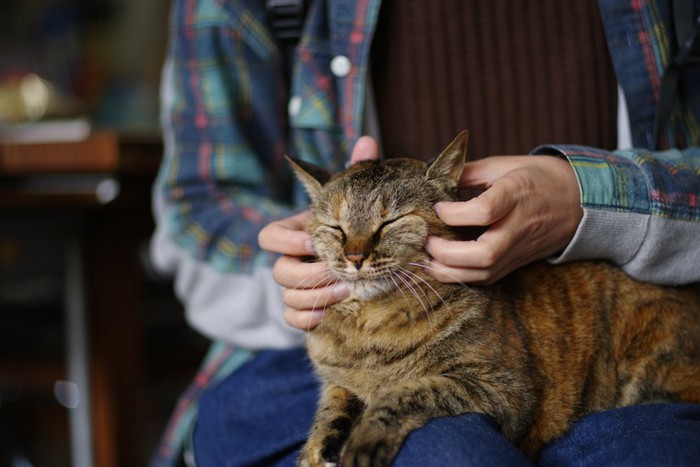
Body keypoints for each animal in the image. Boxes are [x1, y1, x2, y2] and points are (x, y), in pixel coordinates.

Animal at [288, 131, 700, 467]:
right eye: (336, 229)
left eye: (391, 222)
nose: (354, 257)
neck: (370, 329)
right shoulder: (337, 380)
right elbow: (330, 408)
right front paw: (318, 448)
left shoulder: (504, 391)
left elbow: (406, 392)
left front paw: (364, 437)